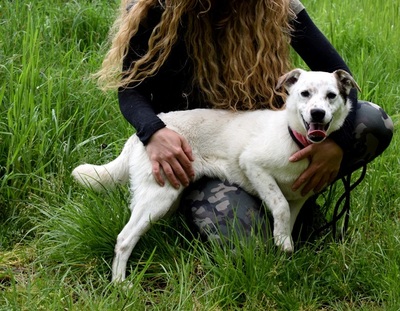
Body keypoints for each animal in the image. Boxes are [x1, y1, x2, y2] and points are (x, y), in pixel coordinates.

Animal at [72, 69, 360, 282]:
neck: (297, 140)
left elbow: (287, 219)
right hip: (158, 196)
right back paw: (120, 285)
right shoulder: (253, 164)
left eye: (331, 95)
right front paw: (282, 242)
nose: (317, 113)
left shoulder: (298, 198)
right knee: (124, 239)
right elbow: (278, 205)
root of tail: (140, 135)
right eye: (305, 93)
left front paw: (282, 245)